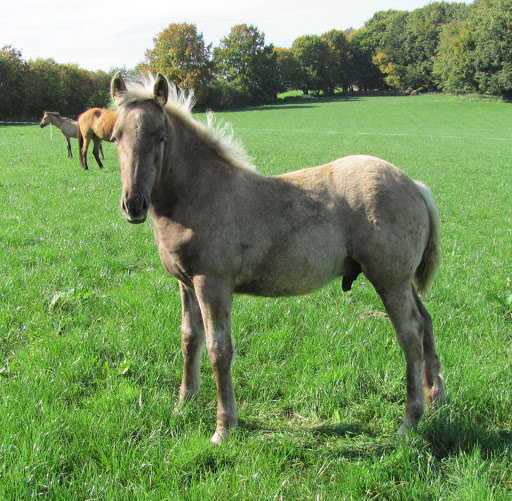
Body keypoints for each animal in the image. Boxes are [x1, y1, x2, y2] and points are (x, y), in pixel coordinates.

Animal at [110, 72, 446, 444]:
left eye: (161, 137)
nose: (134, 204)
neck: (200, 194)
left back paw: (410, 419)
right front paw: (184, 404)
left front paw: (224, 426)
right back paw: (438, 400)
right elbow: (189, 339)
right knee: (426, 322)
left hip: (390, 280)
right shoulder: (185, 283)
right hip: (401, 280)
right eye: (114, 136)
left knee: (410, 333)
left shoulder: (212, 284)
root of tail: (414, 185)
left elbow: (218, 349)